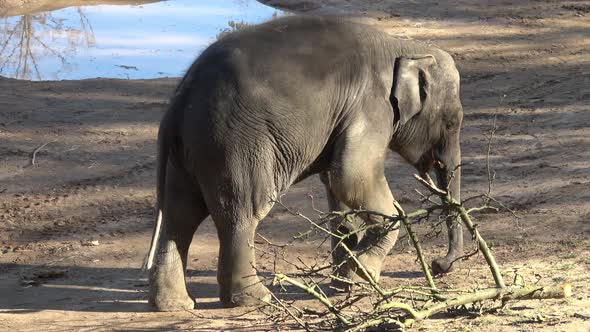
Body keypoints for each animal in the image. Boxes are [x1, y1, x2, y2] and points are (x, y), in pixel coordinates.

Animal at [146, 15, 464, 312]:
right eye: (452, 123)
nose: (438, 265)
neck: (404, 47)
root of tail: (180, 98)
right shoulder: (372, 105)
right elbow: (352, 176)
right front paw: (363, 273)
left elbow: (336, 185)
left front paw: (346, 282)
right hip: (234, 144)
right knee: (241, 211)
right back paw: (257, 299)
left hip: (189, 150)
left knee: (180, 214)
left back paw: (175, 304)